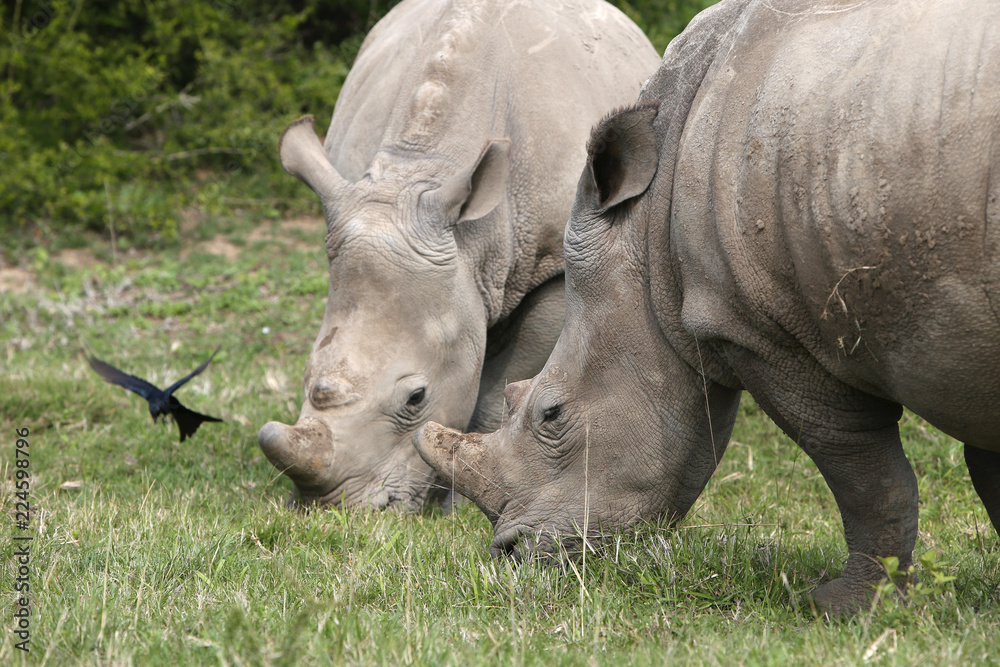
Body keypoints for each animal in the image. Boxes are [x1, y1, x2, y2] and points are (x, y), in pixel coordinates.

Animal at [257, 0, 660, 510]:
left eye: (416, 398)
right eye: (307, 378)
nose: (334, 509)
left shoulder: (556, 264)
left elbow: (497, 390)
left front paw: (461, 502)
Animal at [415, 0, 1000, 614]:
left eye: (551, 415)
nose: (510, 555)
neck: (649, 242)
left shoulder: (764, 335)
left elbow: (860, 467)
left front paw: (847, 606)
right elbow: (983, 468)